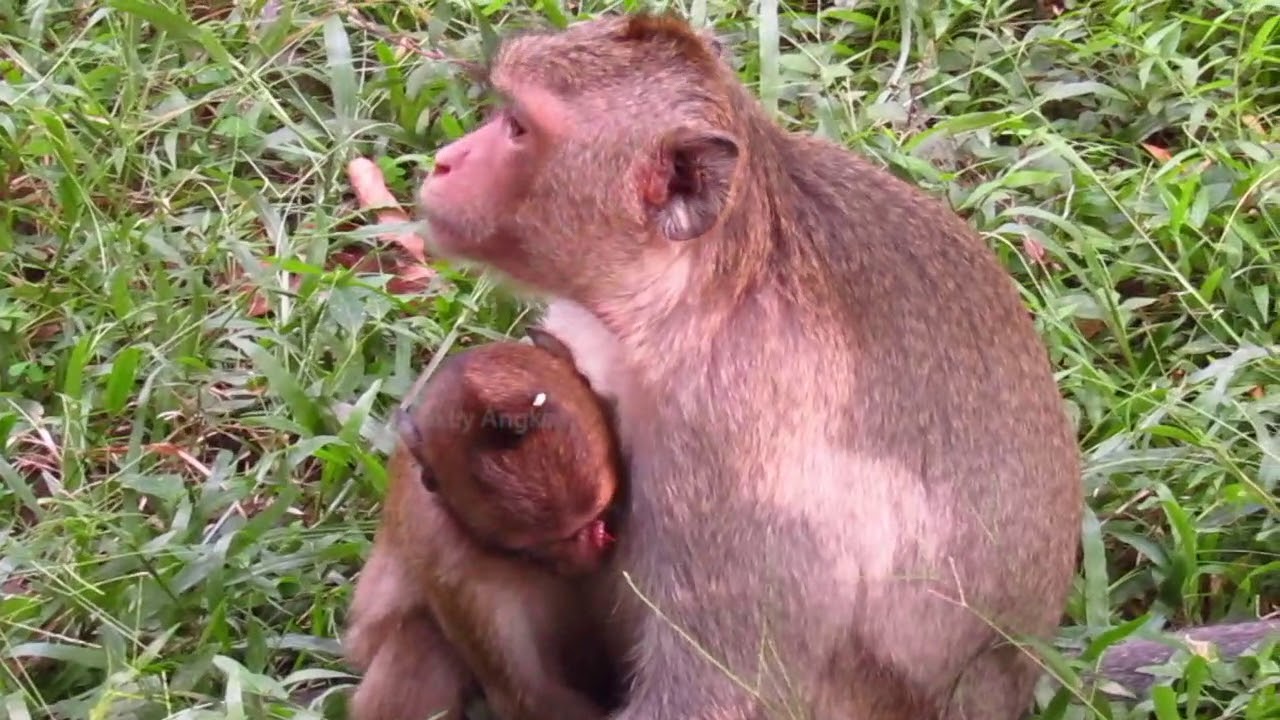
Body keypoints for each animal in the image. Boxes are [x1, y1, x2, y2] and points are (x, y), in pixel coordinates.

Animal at [342, 336, 626, 720]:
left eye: (599, 514)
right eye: (532, 548)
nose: (585, 554)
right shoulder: (454, 566)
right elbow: (529, 695)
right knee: (425, 638)